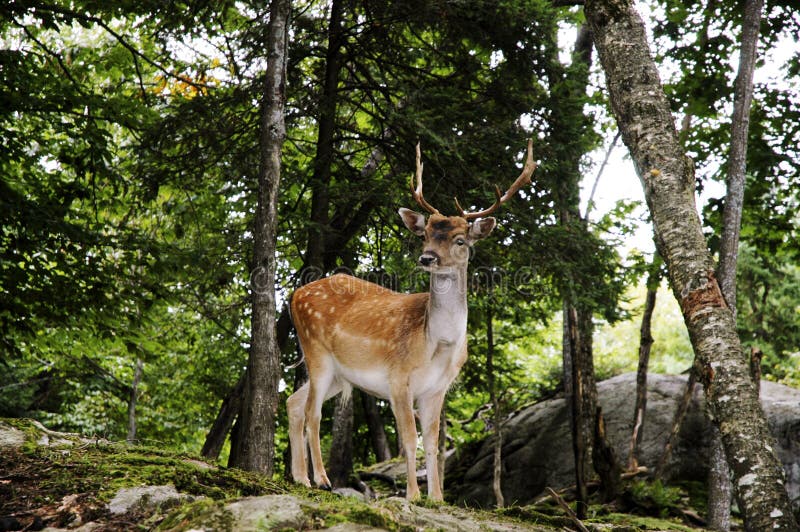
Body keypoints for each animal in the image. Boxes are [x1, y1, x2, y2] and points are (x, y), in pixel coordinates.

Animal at [284, 139, 536, 500]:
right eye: (425, 234)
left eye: (460, 239)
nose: (427, 257)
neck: (436, 343)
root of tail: (294, 295)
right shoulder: (397, 377)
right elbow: (407, 439)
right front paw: (414, 496)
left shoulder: (438, 388)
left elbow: (431, 441)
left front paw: (438, 498)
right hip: (315, 349)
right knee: (312, 412)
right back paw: (321, 479)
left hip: (338, 374)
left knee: (293, 402)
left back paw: (299, 478)